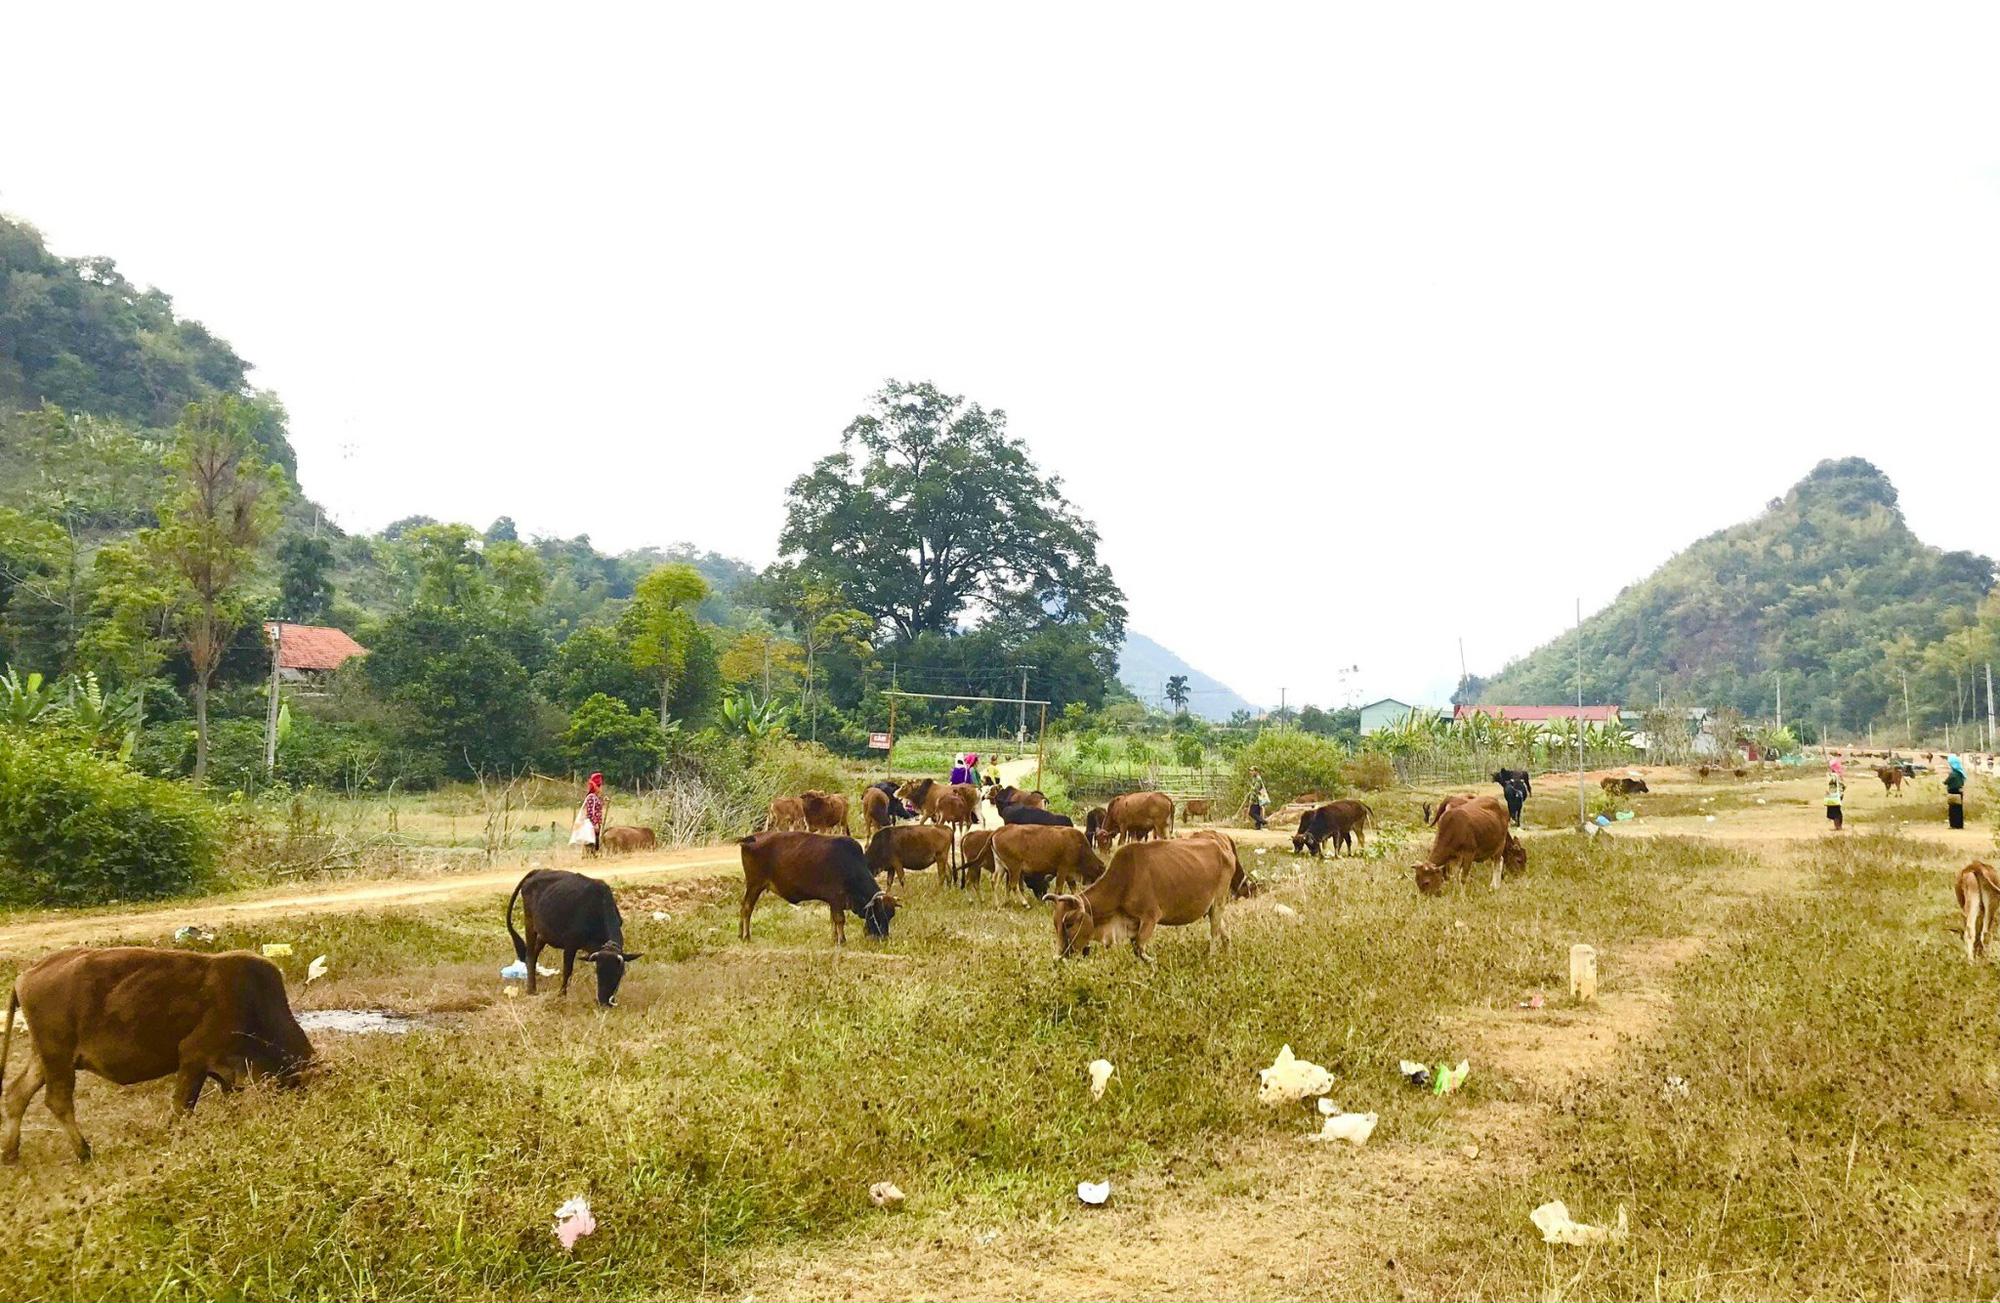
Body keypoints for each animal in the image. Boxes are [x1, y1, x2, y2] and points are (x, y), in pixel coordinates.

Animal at [1, 943, 314, 1167]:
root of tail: (26, 976)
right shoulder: (193, 1059)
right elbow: (182, 1107)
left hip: (44, 1058)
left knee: (17, 1094)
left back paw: (11, 1153)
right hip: (58, 1057)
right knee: (58, 1101)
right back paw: (84, 1152)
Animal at [740, 835, 896, 947]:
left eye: (891, 915)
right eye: (879, 912)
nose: (884, 938)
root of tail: (750, 839)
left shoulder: (834, 902)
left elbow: (833, 919)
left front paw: (834, 938)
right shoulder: (836, 898)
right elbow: (840, 919)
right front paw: (842, 940)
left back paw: (740, 935)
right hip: (754, 885)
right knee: (747, 909)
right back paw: (746, 936)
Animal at [1056, 831, 1240, 963]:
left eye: (1069, 924)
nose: (1061, 957)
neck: (1124, 881)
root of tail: (1223, 847)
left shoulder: (1150, 917)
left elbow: (1139, 947)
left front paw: (1152, 962)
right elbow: (1136, 948)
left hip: (1218, 902)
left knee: (1215, 933)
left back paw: (1212, 959)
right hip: (1211, 908)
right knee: (1225, 932)